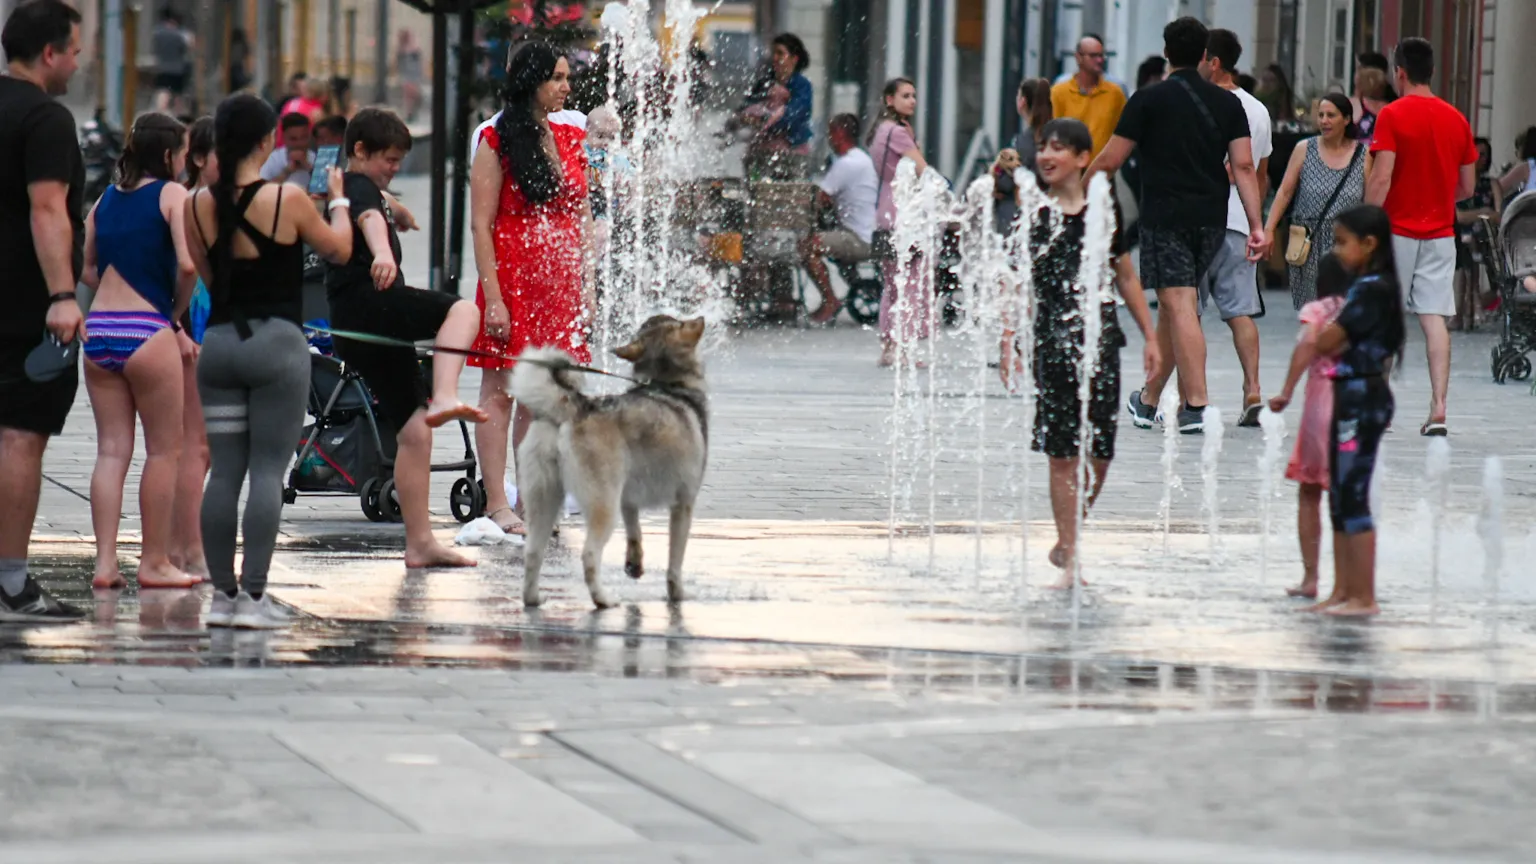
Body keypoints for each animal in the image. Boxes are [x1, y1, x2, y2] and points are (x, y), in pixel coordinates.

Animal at [513, 315, 709, 605]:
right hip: (603, 505)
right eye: (679, 322)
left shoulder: (628, 499)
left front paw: (634, 566)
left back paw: (532, 598)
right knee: (589, 555)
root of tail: (577, 406)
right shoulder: (683, 504)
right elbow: (675, 560)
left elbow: (635, 534)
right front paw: (677, 594)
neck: (667, 384)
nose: (699, 318)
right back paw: (602, 599)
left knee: (533, 553)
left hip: (543, 501)